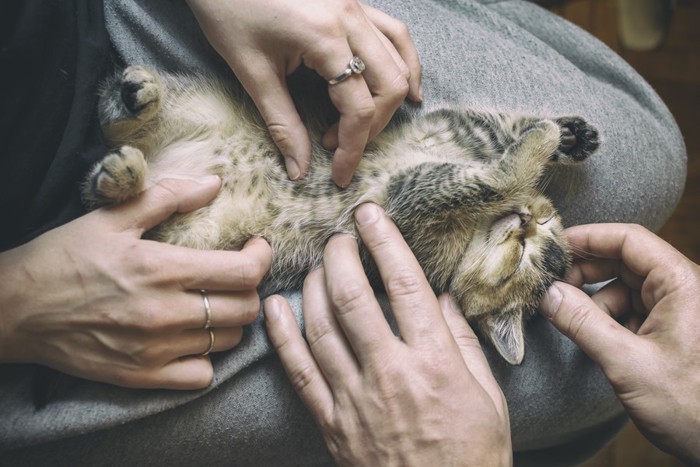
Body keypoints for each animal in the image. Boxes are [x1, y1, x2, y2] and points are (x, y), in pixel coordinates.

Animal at [83, 66, 600, 366]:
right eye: (540, 233)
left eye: (520, 263)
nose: (525, 221)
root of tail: (162, 166)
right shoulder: (468, 132)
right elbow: (505, 139)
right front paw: (565, 135)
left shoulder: (407, 202)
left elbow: (489, 178)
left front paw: (540, 146)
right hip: (195, 106)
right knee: (116, 122)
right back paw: (136, 97)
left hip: (187, 240)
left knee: (104, 191)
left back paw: (122, 177)